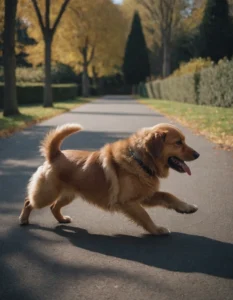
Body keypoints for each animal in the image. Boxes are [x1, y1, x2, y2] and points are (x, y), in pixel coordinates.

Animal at [19, 123, 199, 236]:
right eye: (178, 142)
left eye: (183, 141)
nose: (198, 154)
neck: (140, 160)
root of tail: (55, 154)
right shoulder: (129, 202)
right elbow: (146, 216)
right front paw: (157, 230)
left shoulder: (145, 196)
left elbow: (168, 196)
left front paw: (186, 207)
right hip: (46, 195)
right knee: (29, 202)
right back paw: (23, 219)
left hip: (68, 195)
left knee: (54, 207)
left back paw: (62, 219)